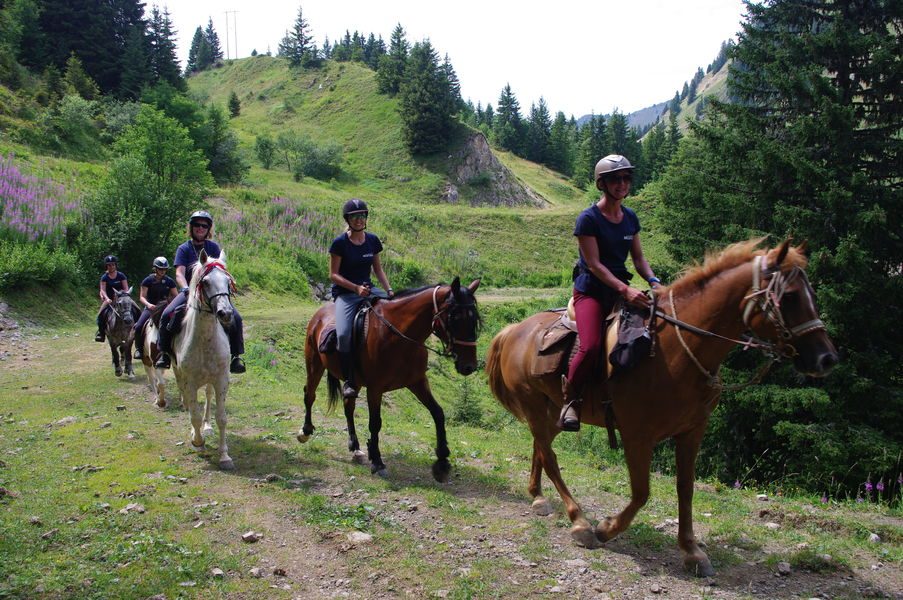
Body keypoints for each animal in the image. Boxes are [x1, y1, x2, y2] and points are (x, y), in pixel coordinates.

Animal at [172, 248, 237, 468]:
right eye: (206, 282)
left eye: (228, 281)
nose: (225, 313)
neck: (205, 341)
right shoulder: (190, 382)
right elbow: (194, 415)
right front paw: (197, 441)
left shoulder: (221, 379)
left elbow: (222, 417)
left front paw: (224, 456)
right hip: (180, 376)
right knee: (190, 405)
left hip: (210, 380)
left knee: (208, 398)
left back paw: (207, 427)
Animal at [296, 278, 480, 482]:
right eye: (455, 318)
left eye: (475, 319)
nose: (469, 366)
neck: (398, 336)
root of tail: (319, 314)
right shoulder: (375, 388)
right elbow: (375, 423)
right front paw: (377, 462)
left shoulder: (417, 382)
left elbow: (438, 413)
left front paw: (442, 462)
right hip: (314, 364)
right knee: (310, 395)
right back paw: (305, 431)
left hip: (354, 382)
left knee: (348, 405)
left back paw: (355, 446)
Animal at [488, 239, 840, 576]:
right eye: (789, 297)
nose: (827, 359)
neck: (674, 351)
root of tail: (513, 329)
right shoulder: (637, 435)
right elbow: (642, 492)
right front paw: (605, 529)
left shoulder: (692, 431)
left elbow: (685, 488)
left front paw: (692, 551)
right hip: (535, 407)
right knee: (550, 456)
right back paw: (579, 521)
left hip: (554, 413)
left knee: (541, 447)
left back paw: (538, 496)